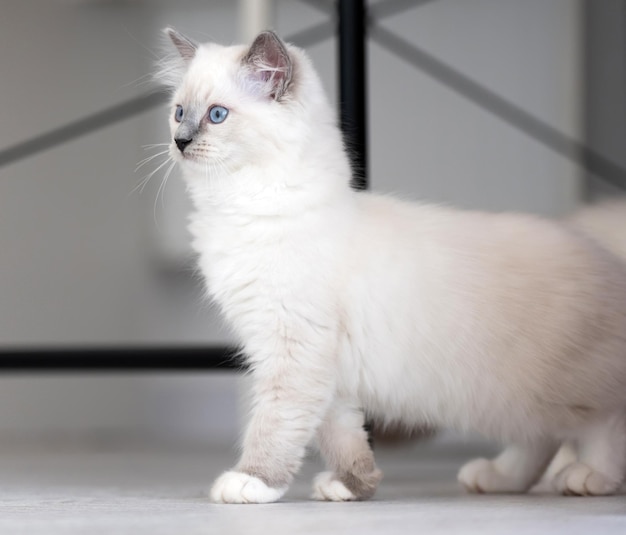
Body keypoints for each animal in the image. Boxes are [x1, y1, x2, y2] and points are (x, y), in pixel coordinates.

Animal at [160, 28, 624, 506]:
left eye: (217, 115)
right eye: (178, 114)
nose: (181, 141)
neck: (244, 207)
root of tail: (604, 253)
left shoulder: (294, 351)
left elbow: (275, 424)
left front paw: (252, 481)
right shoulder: (317, 367)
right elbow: (342, 436)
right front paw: (353, 486)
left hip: (547, 391)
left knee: (603, 423)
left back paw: (589, 477)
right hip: (509, 400)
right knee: (541, 438)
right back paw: (498, 478)